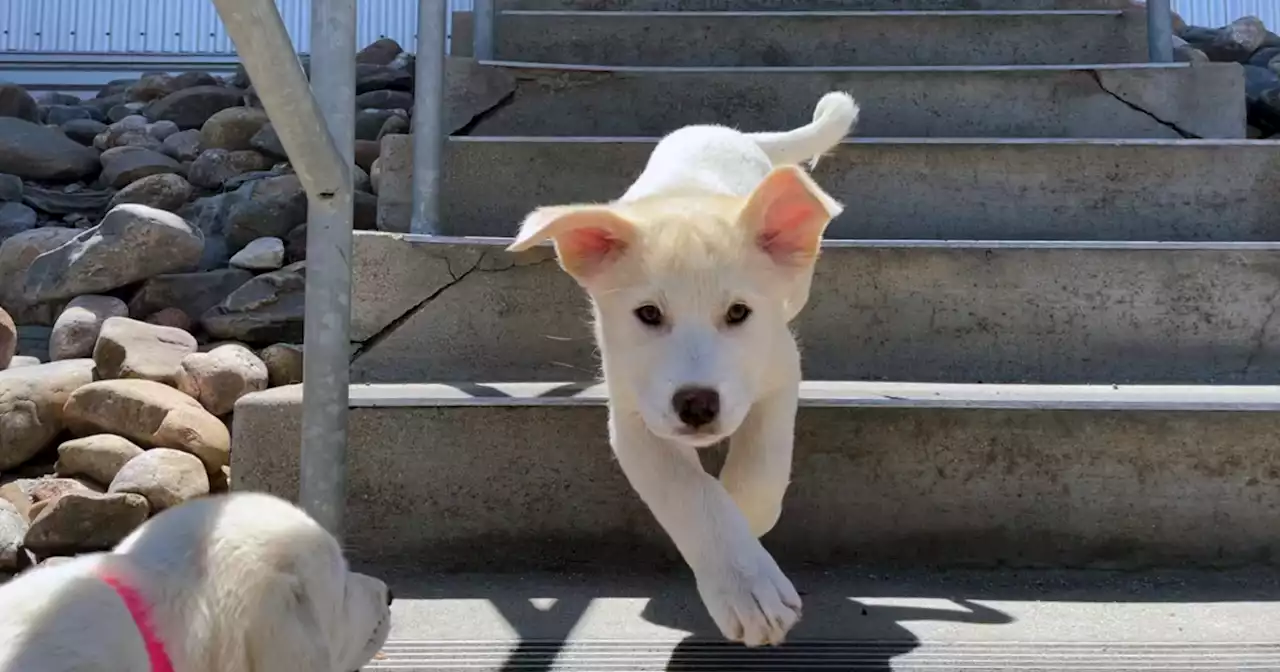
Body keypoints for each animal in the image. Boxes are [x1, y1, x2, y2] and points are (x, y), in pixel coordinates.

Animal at [509, 91, 860, 647]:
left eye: (738, 313)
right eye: (649, 314)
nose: (697, 405)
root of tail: (722, 130)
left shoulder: (780, 369)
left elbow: (760, 471)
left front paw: (746, 528)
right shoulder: (634, 415)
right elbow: (691, 493)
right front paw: (745, 586)